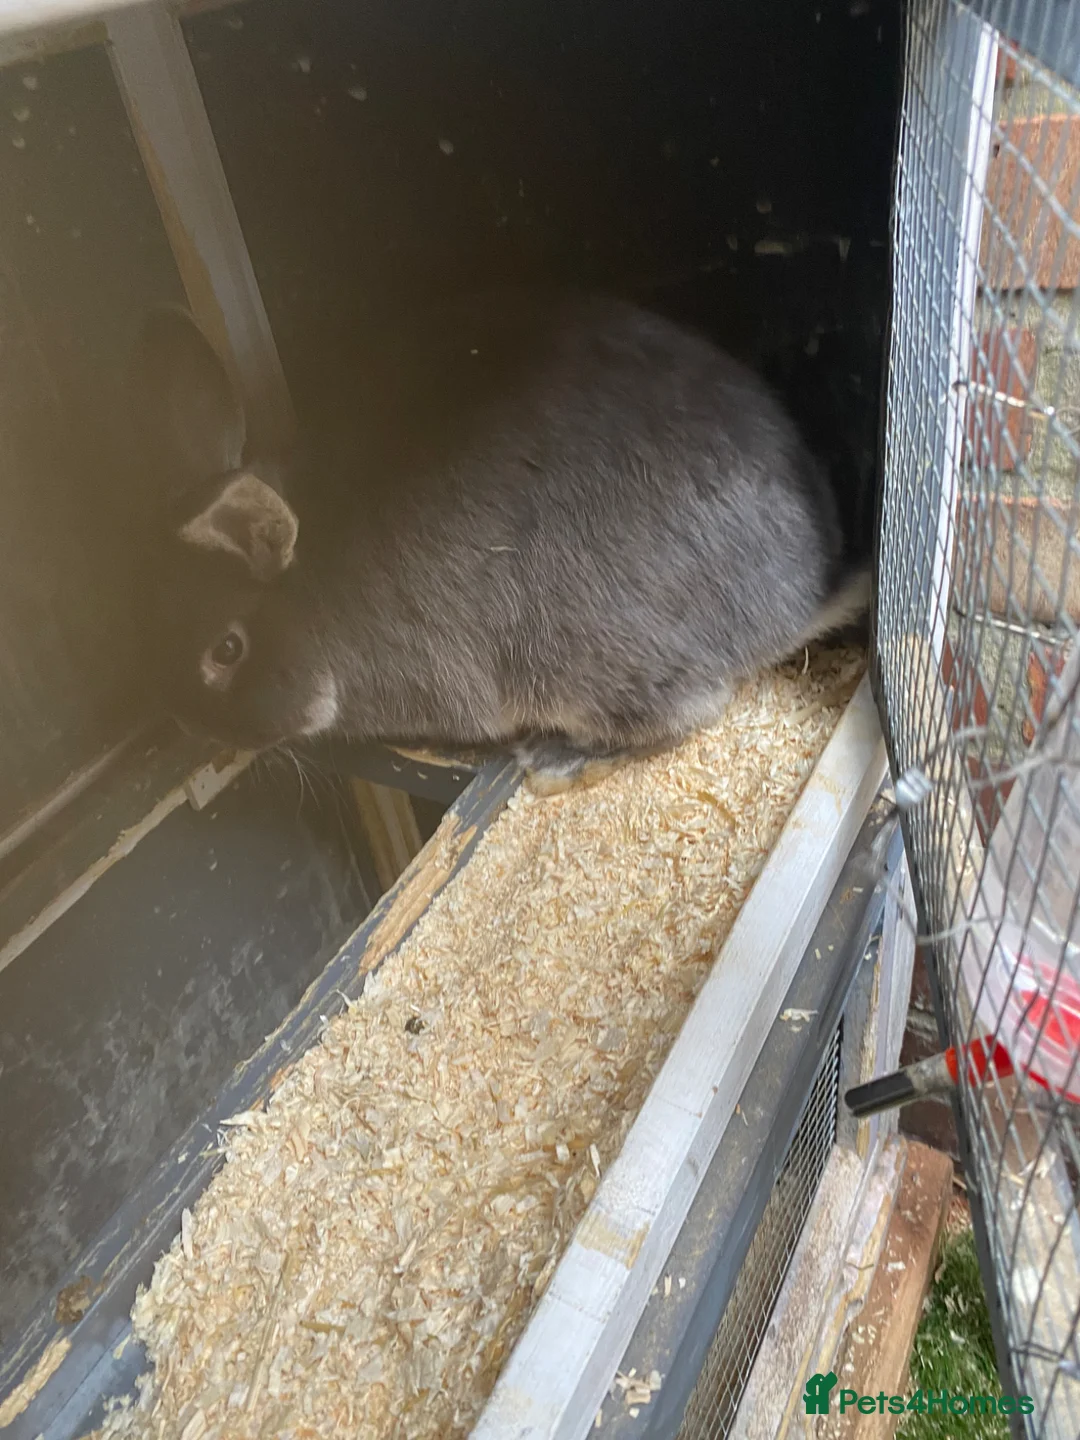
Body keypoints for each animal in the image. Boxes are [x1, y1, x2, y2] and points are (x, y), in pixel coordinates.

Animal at [131, 288, 869, 794]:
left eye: (227, 650)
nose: (189, 727)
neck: (313, 586)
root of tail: (802, 600)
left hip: (592, 656)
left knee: (689, 707)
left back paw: (555, 759)